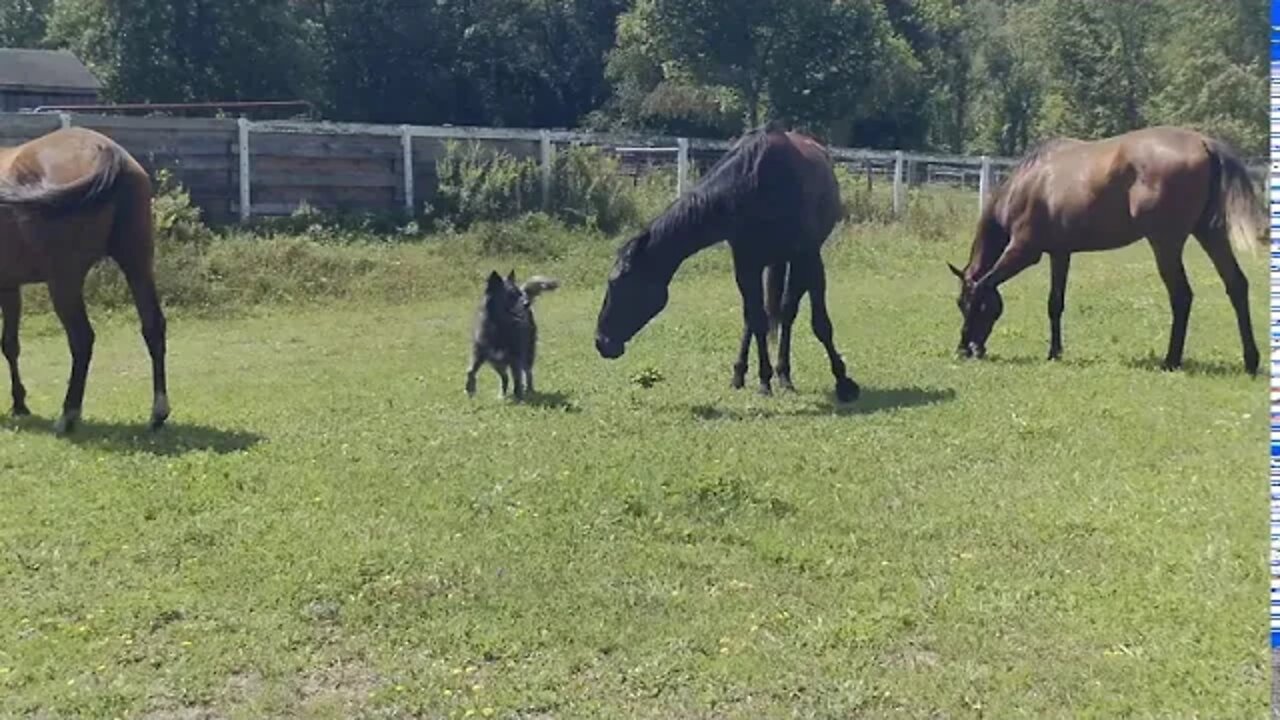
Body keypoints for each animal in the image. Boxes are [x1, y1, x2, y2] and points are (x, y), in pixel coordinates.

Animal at [0, 126, 170, 430]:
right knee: (153, 326)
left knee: (82, 339)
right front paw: (19, 403)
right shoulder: (9, 286)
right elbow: (10, 344)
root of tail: (109, 153)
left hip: (64, 281)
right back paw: (158, 413)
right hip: (137, 263)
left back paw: (68, 415)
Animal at [463, 269, 558, 397]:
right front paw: (470, 389)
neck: (499, 326)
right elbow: (470, 370)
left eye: (519, 294)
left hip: (527, 354)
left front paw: (519, 396)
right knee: (505, 376)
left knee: (528, 373)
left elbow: (517, 378)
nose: (527, 303)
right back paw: (501, 395)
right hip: (496, 363)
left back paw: (529, 390)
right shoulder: (480, 353)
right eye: (510, 295)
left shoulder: (515, 358)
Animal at [947, 125, 1264, 371]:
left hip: (1166, 243)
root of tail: (1204, 142)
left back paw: (1171, 360)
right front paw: (1054, 353)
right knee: (1236, 284)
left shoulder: (1024, 252)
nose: (969, 349)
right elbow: (1055, 303)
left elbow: (985, 283)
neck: (1027, 184)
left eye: (963, 303)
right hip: (1210, 234)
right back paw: (1251, 360)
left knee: (1182, 295)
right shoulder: (1060, 254)